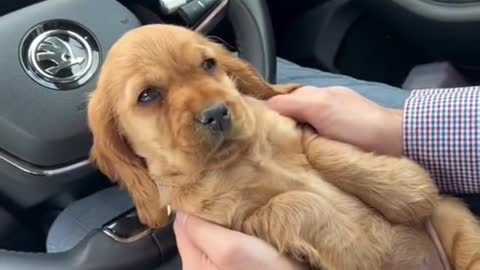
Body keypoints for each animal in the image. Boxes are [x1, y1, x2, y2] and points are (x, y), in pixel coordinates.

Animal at [87, 24, 480, 268]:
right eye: (147, 96)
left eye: (209, 64)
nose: (216, 114)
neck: (245, 158)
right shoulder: (243, 221)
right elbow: (292, 203)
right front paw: (358, 251)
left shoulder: (299, 131)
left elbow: (325, 150)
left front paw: (407, 188)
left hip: (451, 217)